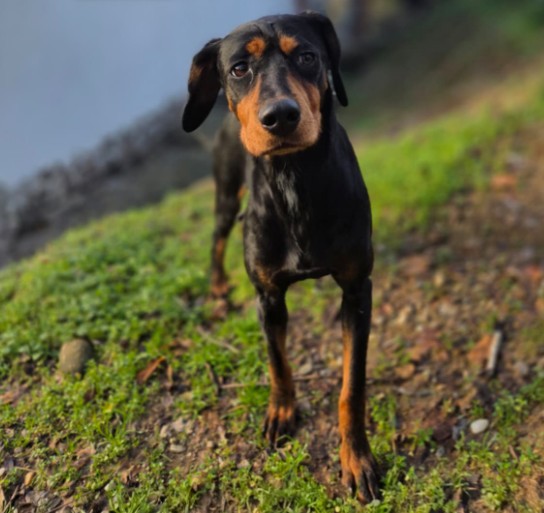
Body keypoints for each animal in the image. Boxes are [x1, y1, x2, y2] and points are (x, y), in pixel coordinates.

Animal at [182, 12, 379, 503]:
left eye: (307, 56)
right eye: (239, 68)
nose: (281, 116)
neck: (295, 182)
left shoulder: (357, 290)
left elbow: (352, 386)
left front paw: (357, 459)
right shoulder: (267, 296)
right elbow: (278, 362)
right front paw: (281, 412)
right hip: (225, 195)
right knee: (216, 239)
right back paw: (217, 288)